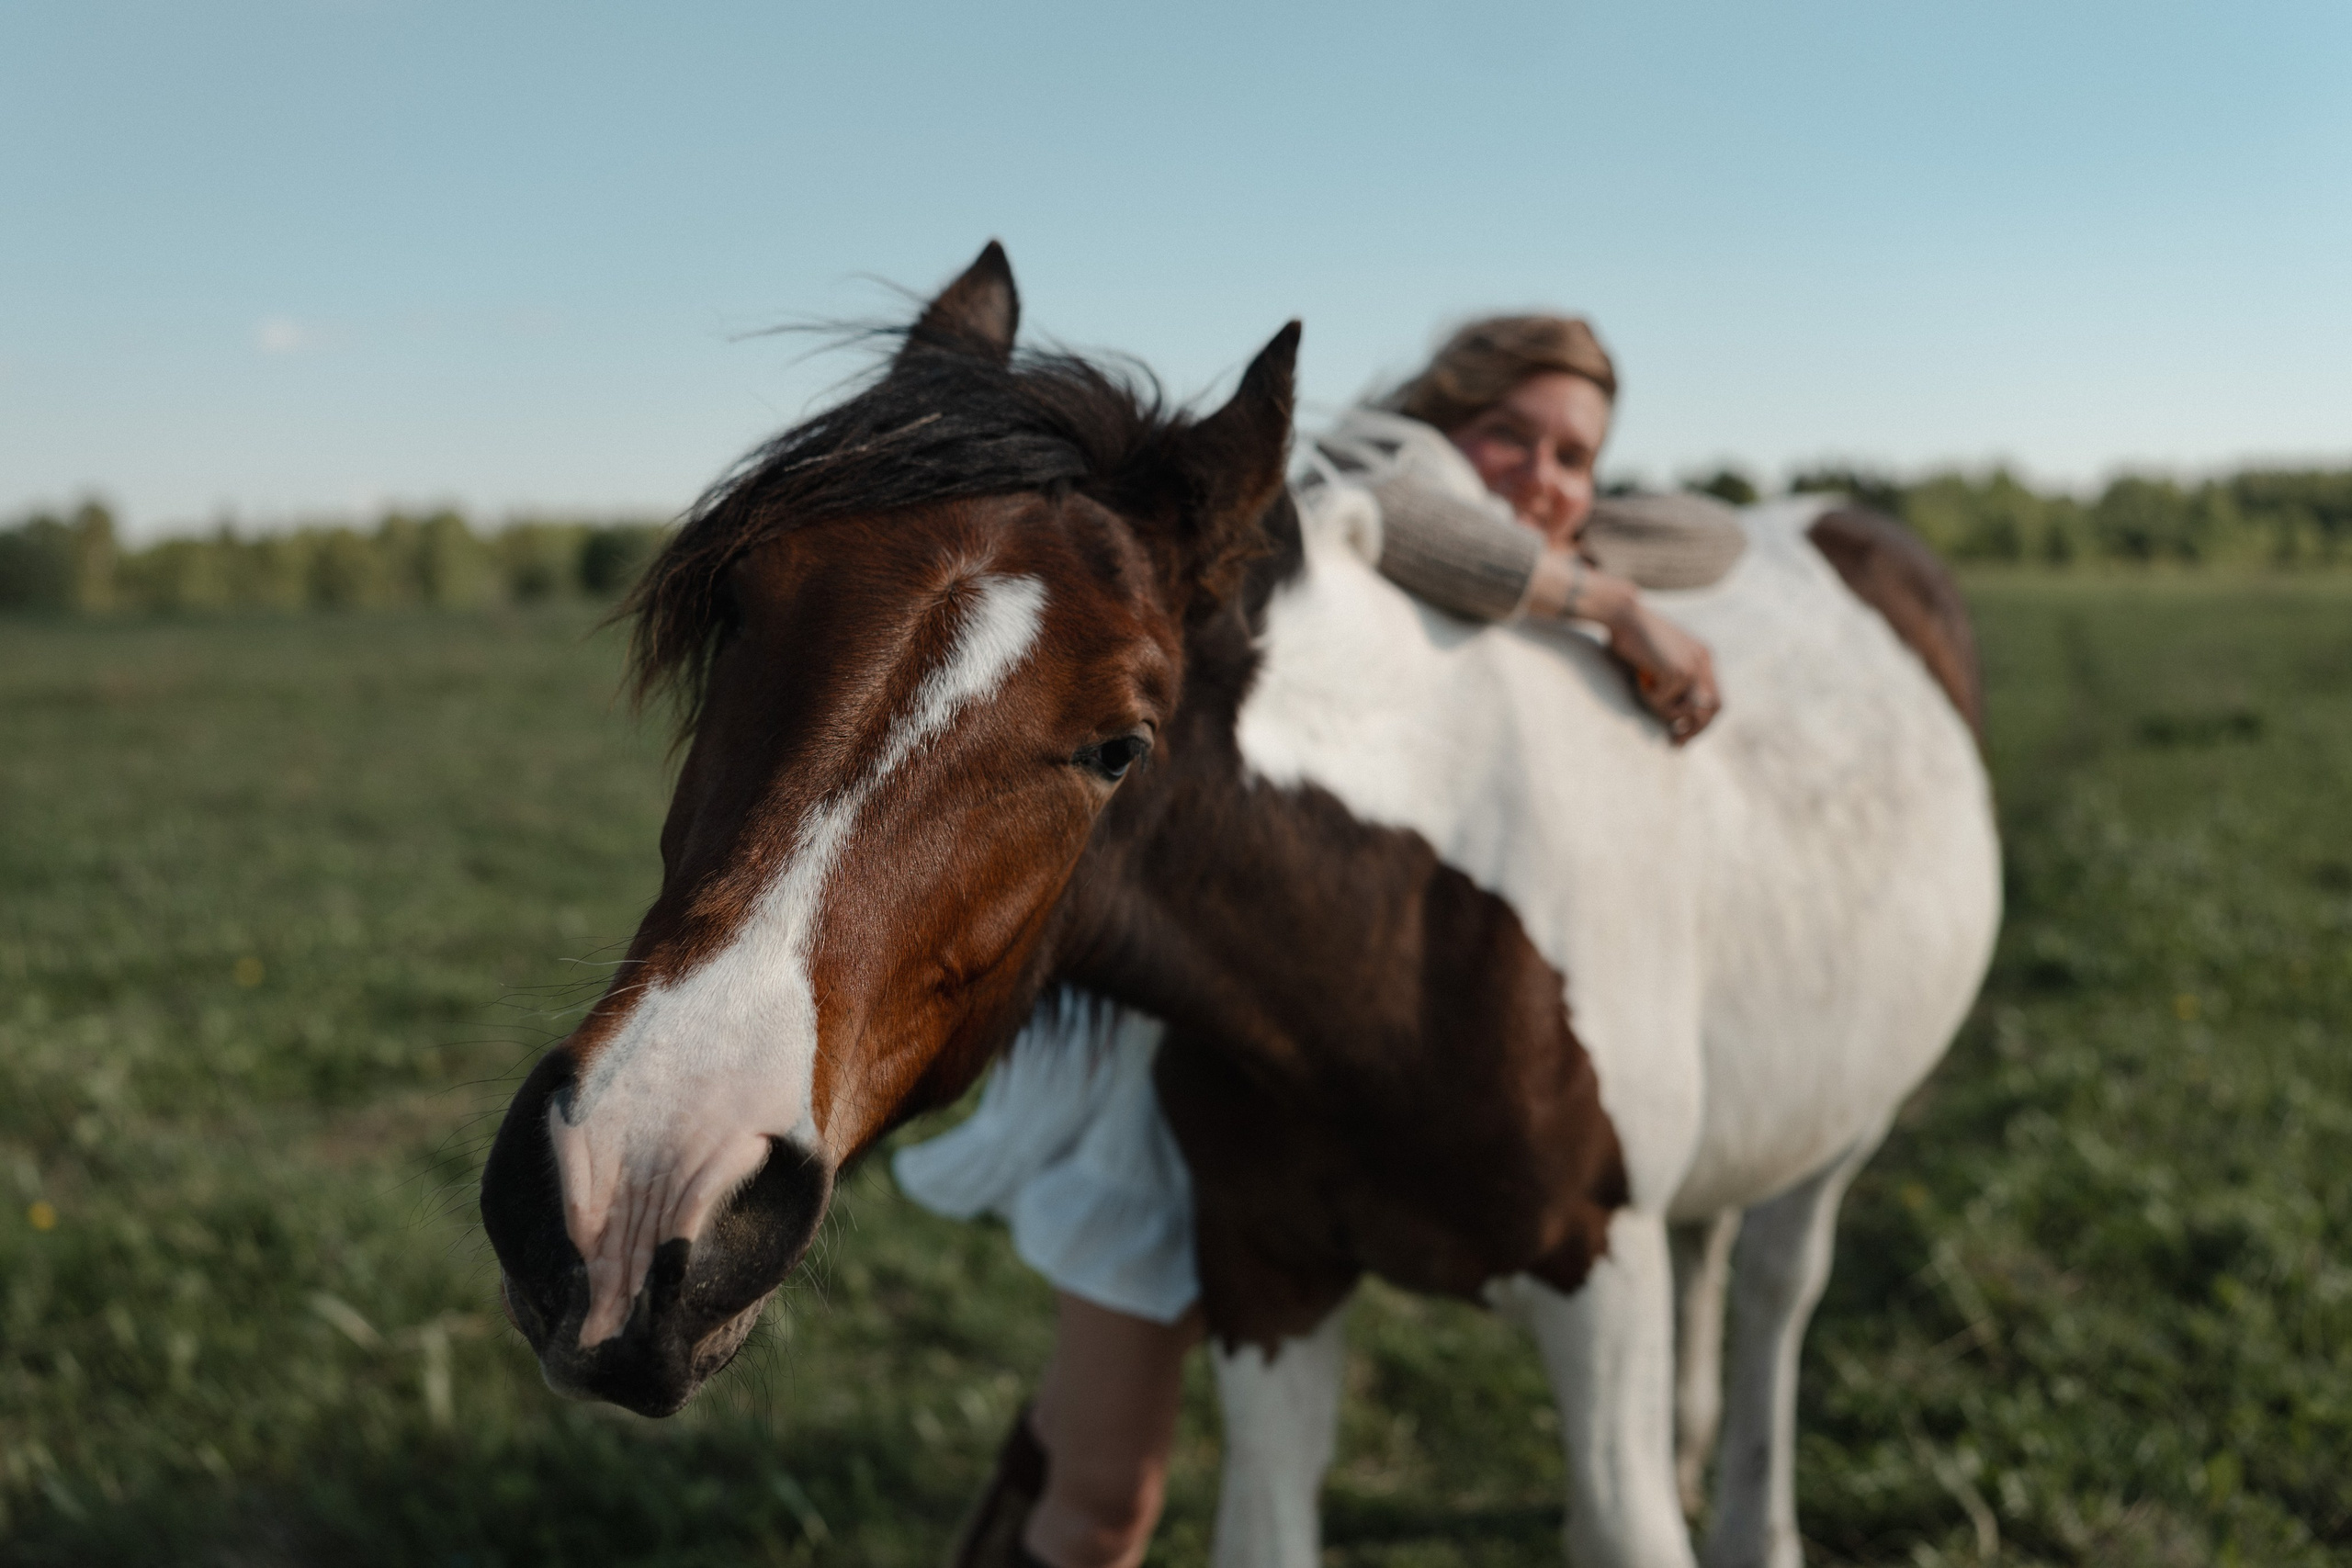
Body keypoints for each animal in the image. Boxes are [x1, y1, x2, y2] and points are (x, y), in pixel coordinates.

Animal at [480, 243, 2000, 1568]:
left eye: (1120, 744)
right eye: (741, 607)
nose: (628, 1187)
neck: (1395, 950)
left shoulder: (1599, 1278)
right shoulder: (1265, 1277)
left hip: (1844, 1133)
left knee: (1777, 1289)